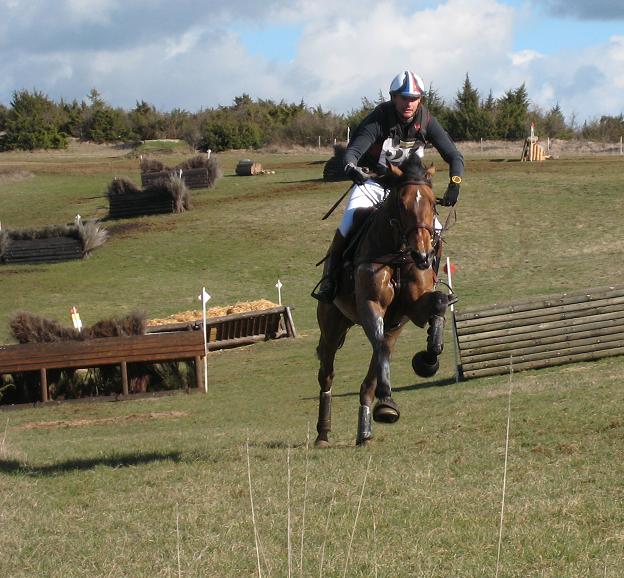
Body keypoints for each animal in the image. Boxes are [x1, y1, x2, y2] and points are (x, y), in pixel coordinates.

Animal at [314, 153, 450, 446]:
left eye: (433, 203)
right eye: (401, 203)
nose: (422, 255)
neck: (398, 253)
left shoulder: (409, 311)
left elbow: (439, 302)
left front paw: (428, 360)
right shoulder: (371, 306)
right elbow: (381, 349)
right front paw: (387, 399)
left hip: (390, 325)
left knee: (372, 370)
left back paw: (365, 428)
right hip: (332, 325)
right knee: (328, 374)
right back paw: (324, 433)